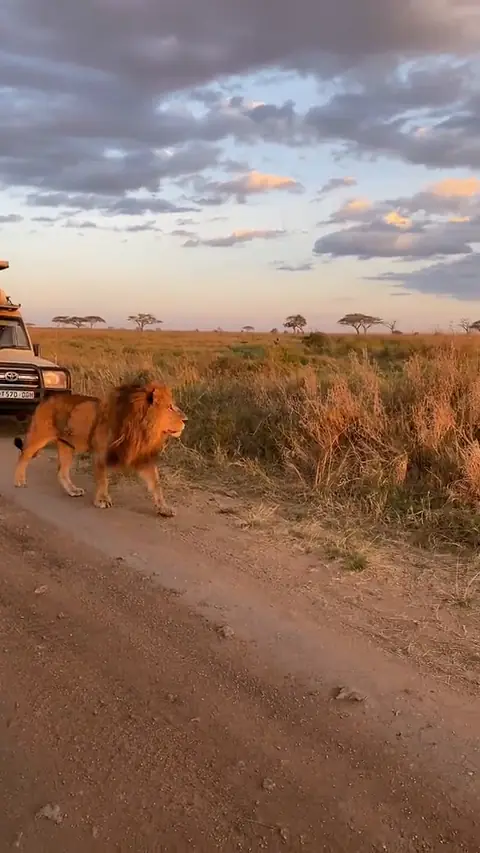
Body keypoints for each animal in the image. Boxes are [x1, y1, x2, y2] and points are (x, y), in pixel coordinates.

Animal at [13, 380, 187, 517]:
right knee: (23, 455)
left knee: (61, 472)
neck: (141, 428)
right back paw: (19, 480)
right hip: (39, 436)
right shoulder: (101, 452)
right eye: (170, 407)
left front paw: (164, 508)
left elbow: (156, 484)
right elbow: (103, 478)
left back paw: (73, 490)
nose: (186, 419)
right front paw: (102, 500)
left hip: (67, 445)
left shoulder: (141, 457)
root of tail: (47, 398)